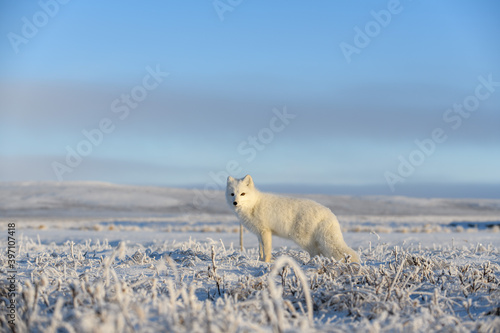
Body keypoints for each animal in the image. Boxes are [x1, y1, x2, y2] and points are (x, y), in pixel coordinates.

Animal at [227, 175, 360, 264]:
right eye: (232, 194)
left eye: (243, 194)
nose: (235, 203)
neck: (253, 204)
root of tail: (328, 212)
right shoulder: (259, 234)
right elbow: (261, 250)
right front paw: (260, 261)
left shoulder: (265, 232)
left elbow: (267, 250)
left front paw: (266, 263)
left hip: (301, 239)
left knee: (315, 252)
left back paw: (311, 264)